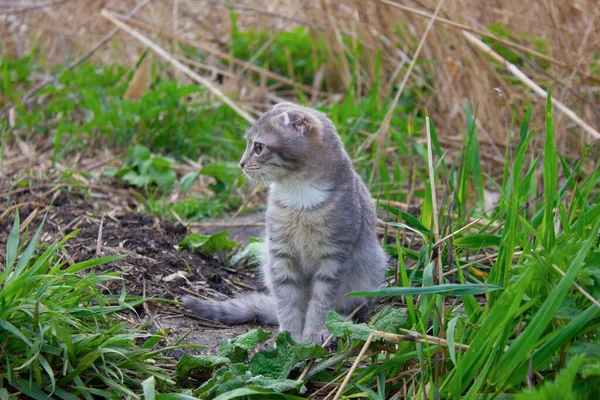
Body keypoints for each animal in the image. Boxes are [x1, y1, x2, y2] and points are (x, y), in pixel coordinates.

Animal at [183, 102, 386, 344]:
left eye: (258, 147)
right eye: (249, 144)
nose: (241, 163)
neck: (299, 196)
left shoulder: (334, 257)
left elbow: (322, 301)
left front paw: (315, 332)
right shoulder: (280, 254)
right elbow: (286, 300)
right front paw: (290, 334)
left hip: (372, 268)